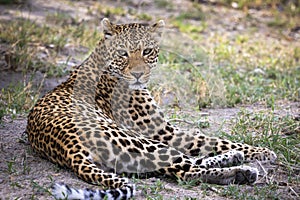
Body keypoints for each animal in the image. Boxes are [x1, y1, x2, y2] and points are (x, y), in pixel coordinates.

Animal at [25, 18, 276, 199]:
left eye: (147, 51)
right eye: (123, 53)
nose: (138, 74)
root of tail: (70, 149)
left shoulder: (165, 132)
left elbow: (210, 141)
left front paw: (255, 151)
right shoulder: (163, 132)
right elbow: (215, 140)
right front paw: (264, 151)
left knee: (185, 163)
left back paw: (236, 162)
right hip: (138, 140)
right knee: (186, 170)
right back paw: (241, 171)